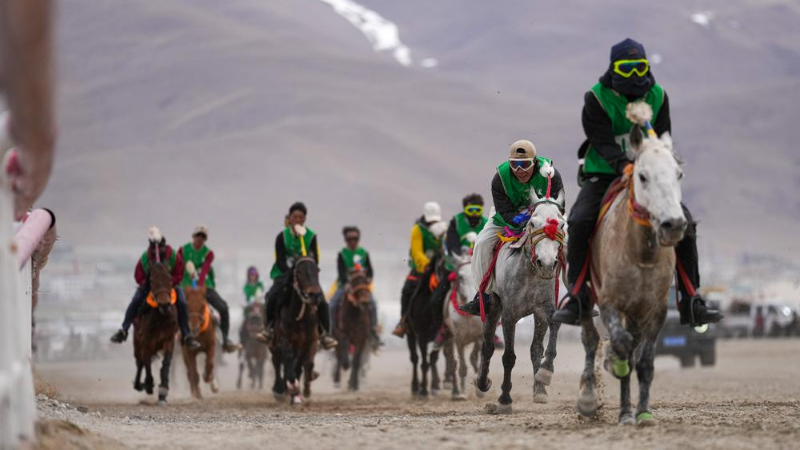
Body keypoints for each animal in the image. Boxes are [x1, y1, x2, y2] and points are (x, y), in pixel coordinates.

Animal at [132, 262, 179, 405]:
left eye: (170, 279)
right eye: (152, 280)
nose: (164, 304)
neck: (160, 318)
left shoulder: (169, 339)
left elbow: (167, 362)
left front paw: (163, 390)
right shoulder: (146, 342)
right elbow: (146, 363)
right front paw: (148, 384)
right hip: (137, 343)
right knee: (140, 362)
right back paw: (138, 384)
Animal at [270, 257, 322, 405]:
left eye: (317, 270)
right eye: (299, 272)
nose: (315, 295)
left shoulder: (311, 341)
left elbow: (306, 364)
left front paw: (300, 392)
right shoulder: (284, 340)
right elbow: (288, 361)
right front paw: (292, 387)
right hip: (273, 344)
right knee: (277, 362)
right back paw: (279, 390)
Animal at [442, 253, 484, 400]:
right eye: (460, 277)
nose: (469, 297)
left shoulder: (479, 337)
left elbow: (476, 360)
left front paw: (480, 390)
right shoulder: (459, 340)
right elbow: (462, 367)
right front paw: (461, 393)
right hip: (448, 337)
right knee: (451, 361)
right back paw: (455, 391)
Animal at [475, 183, 566, 413]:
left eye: (561, 223)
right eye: (532, 222)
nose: (547, 263)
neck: (531, 272)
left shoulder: (545, 309)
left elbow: (548, 339)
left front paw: (545, 374)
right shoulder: (509, 315)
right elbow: (508, 357)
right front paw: (505, 398)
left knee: (535, 348)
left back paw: (539, 389)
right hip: (492, 305)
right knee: (487, 346)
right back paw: (482, 383)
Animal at [576, 103, 686, 427]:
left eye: (678, 174)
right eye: (643, 176)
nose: (673, 225)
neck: (641, 255)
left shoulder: (656, 310)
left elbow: (645, 361)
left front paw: (642, 413)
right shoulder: (610, 302)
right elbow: (622, 345)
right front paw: (614, 364)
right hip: (586, 299)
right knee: (589, 338)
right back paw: (590, 399)